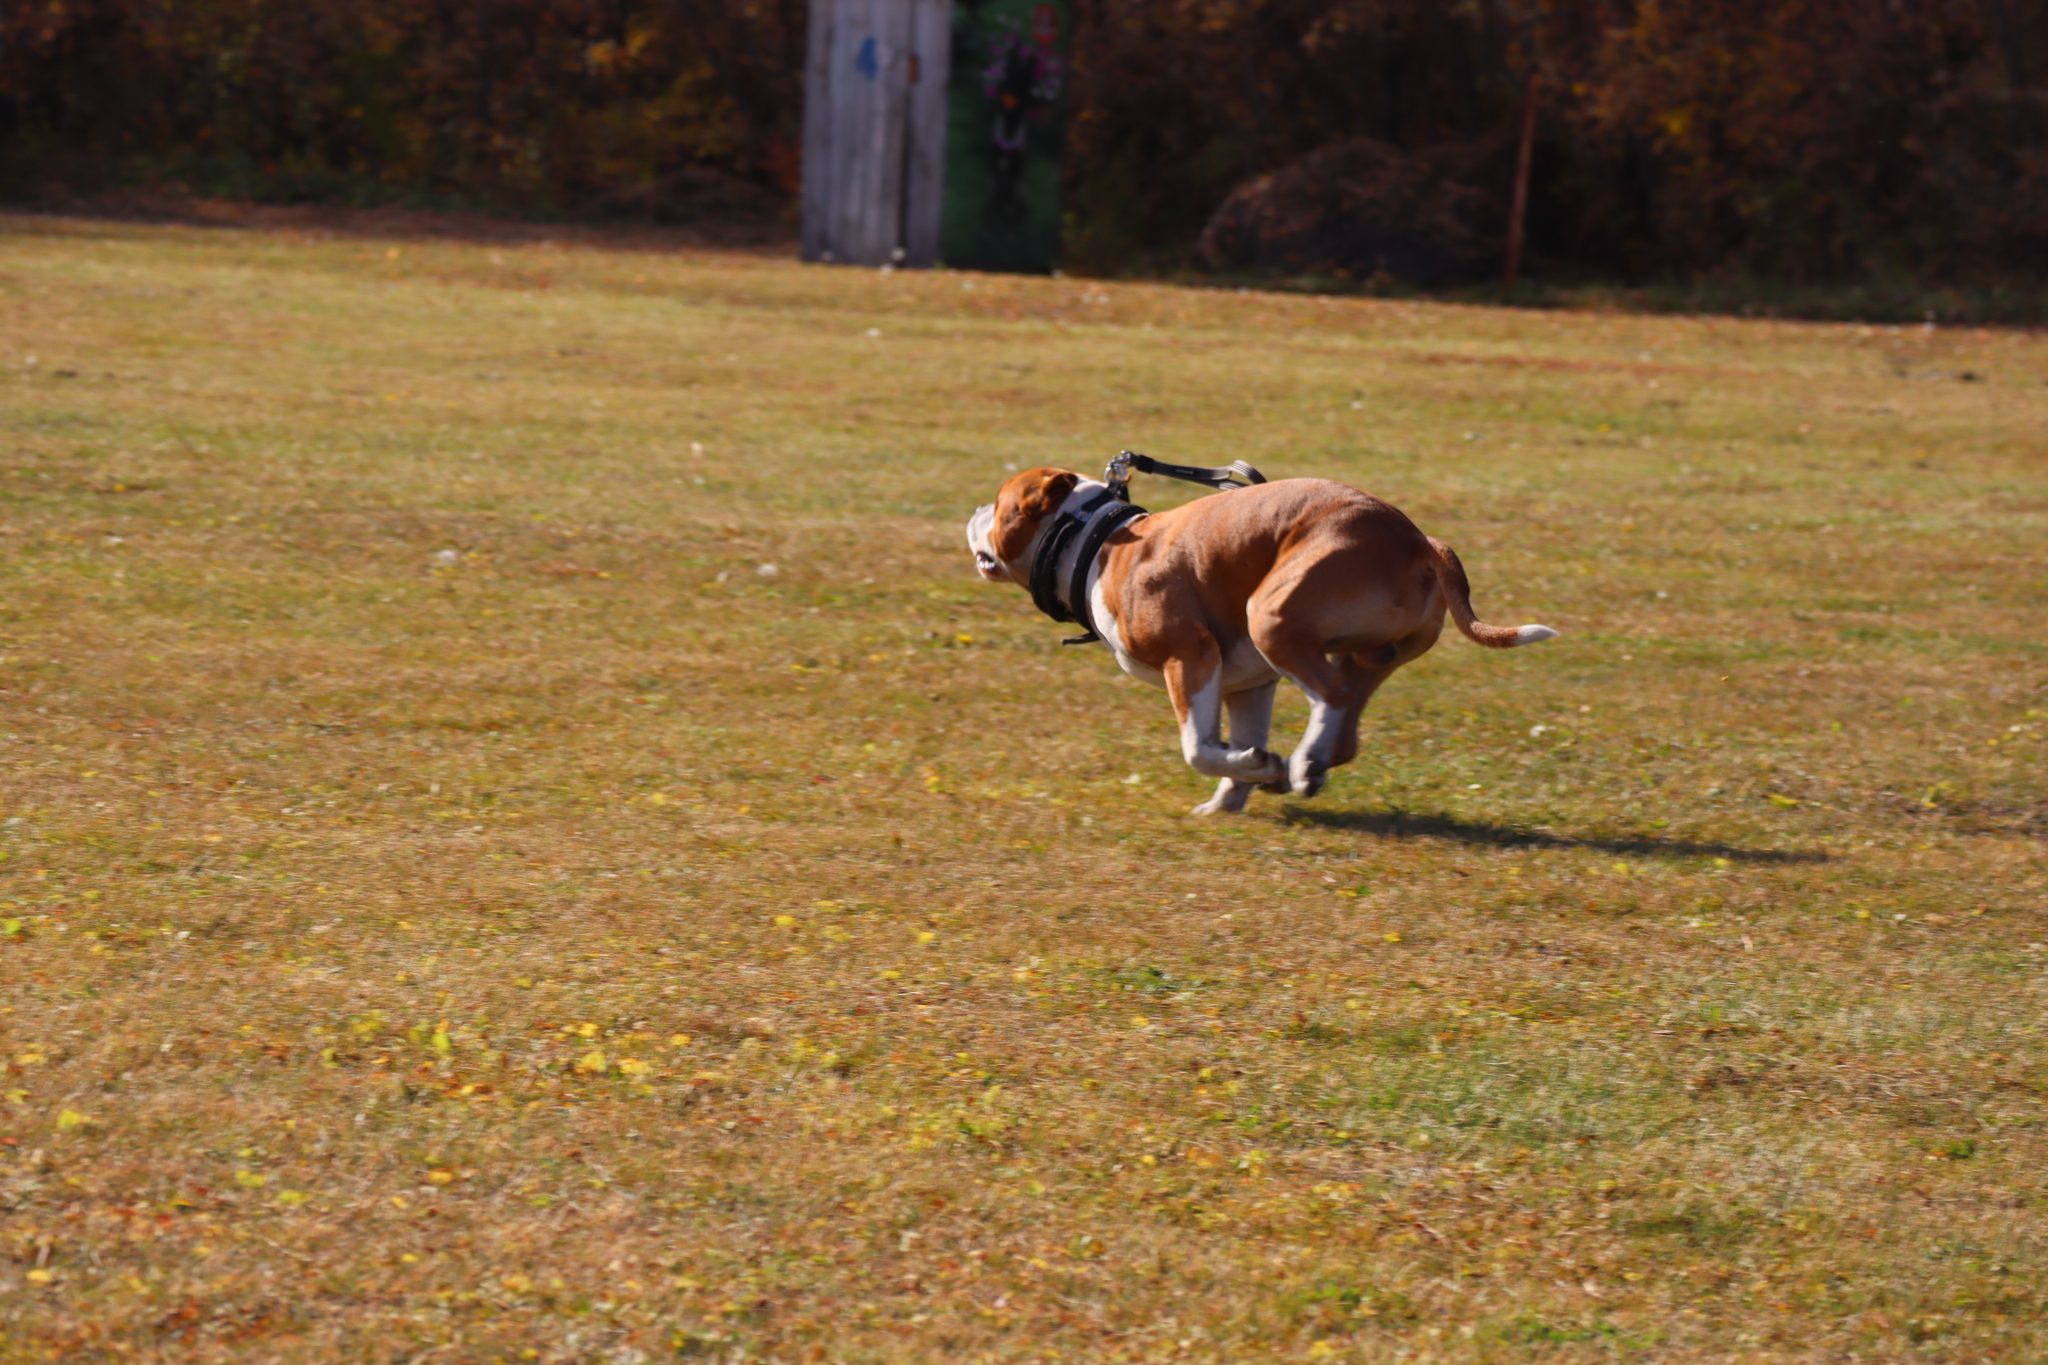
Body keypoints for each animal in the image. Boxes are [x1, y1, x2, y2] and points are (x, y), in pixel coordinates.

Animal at [966, 470, 1556, 810]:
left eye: (997, 504)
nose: (972, 511)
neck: (1095, 542)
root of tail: (1416, 539)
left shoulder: (1190, 658)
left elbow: (1199, 749)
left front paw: (1255, 768)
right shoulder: (1246, 686)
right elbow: (1236, 743)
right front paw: (1237, 790)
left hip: (1270, 618)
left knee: (1331, 697)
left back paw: (1304, 761)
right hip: (1361, 654)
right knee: (1347, 718)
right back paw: (1306, 765)